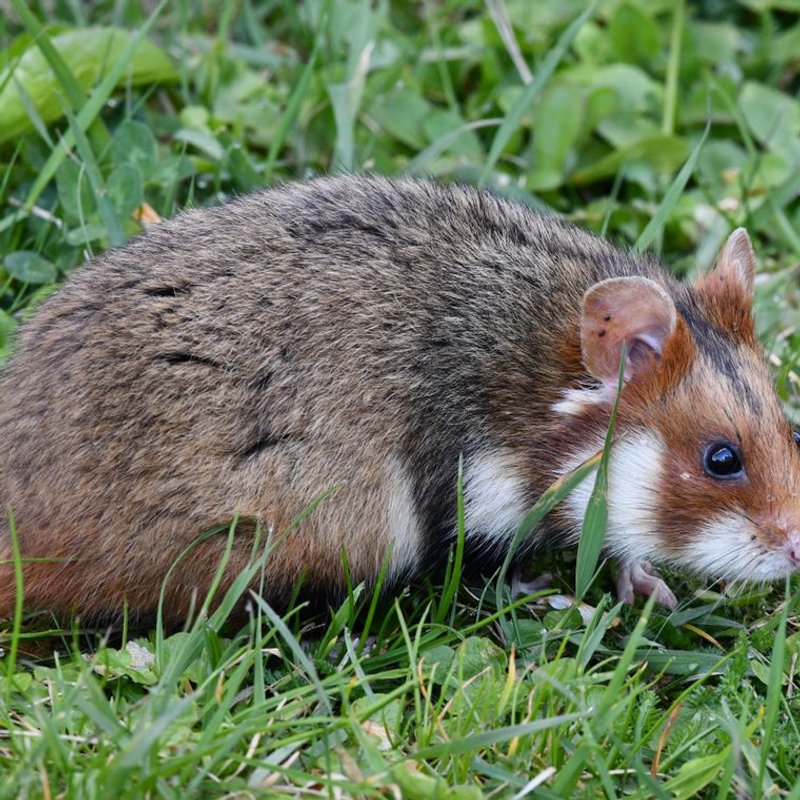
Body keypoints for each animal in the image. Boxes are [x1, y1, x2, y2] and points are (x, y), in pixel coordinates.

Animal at [1, 174, 798, 623]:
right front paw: (562, 595)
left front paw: (649, 585)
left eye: (790, 430)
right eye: (722, 459)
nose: (797, 553)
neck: (531, 387)